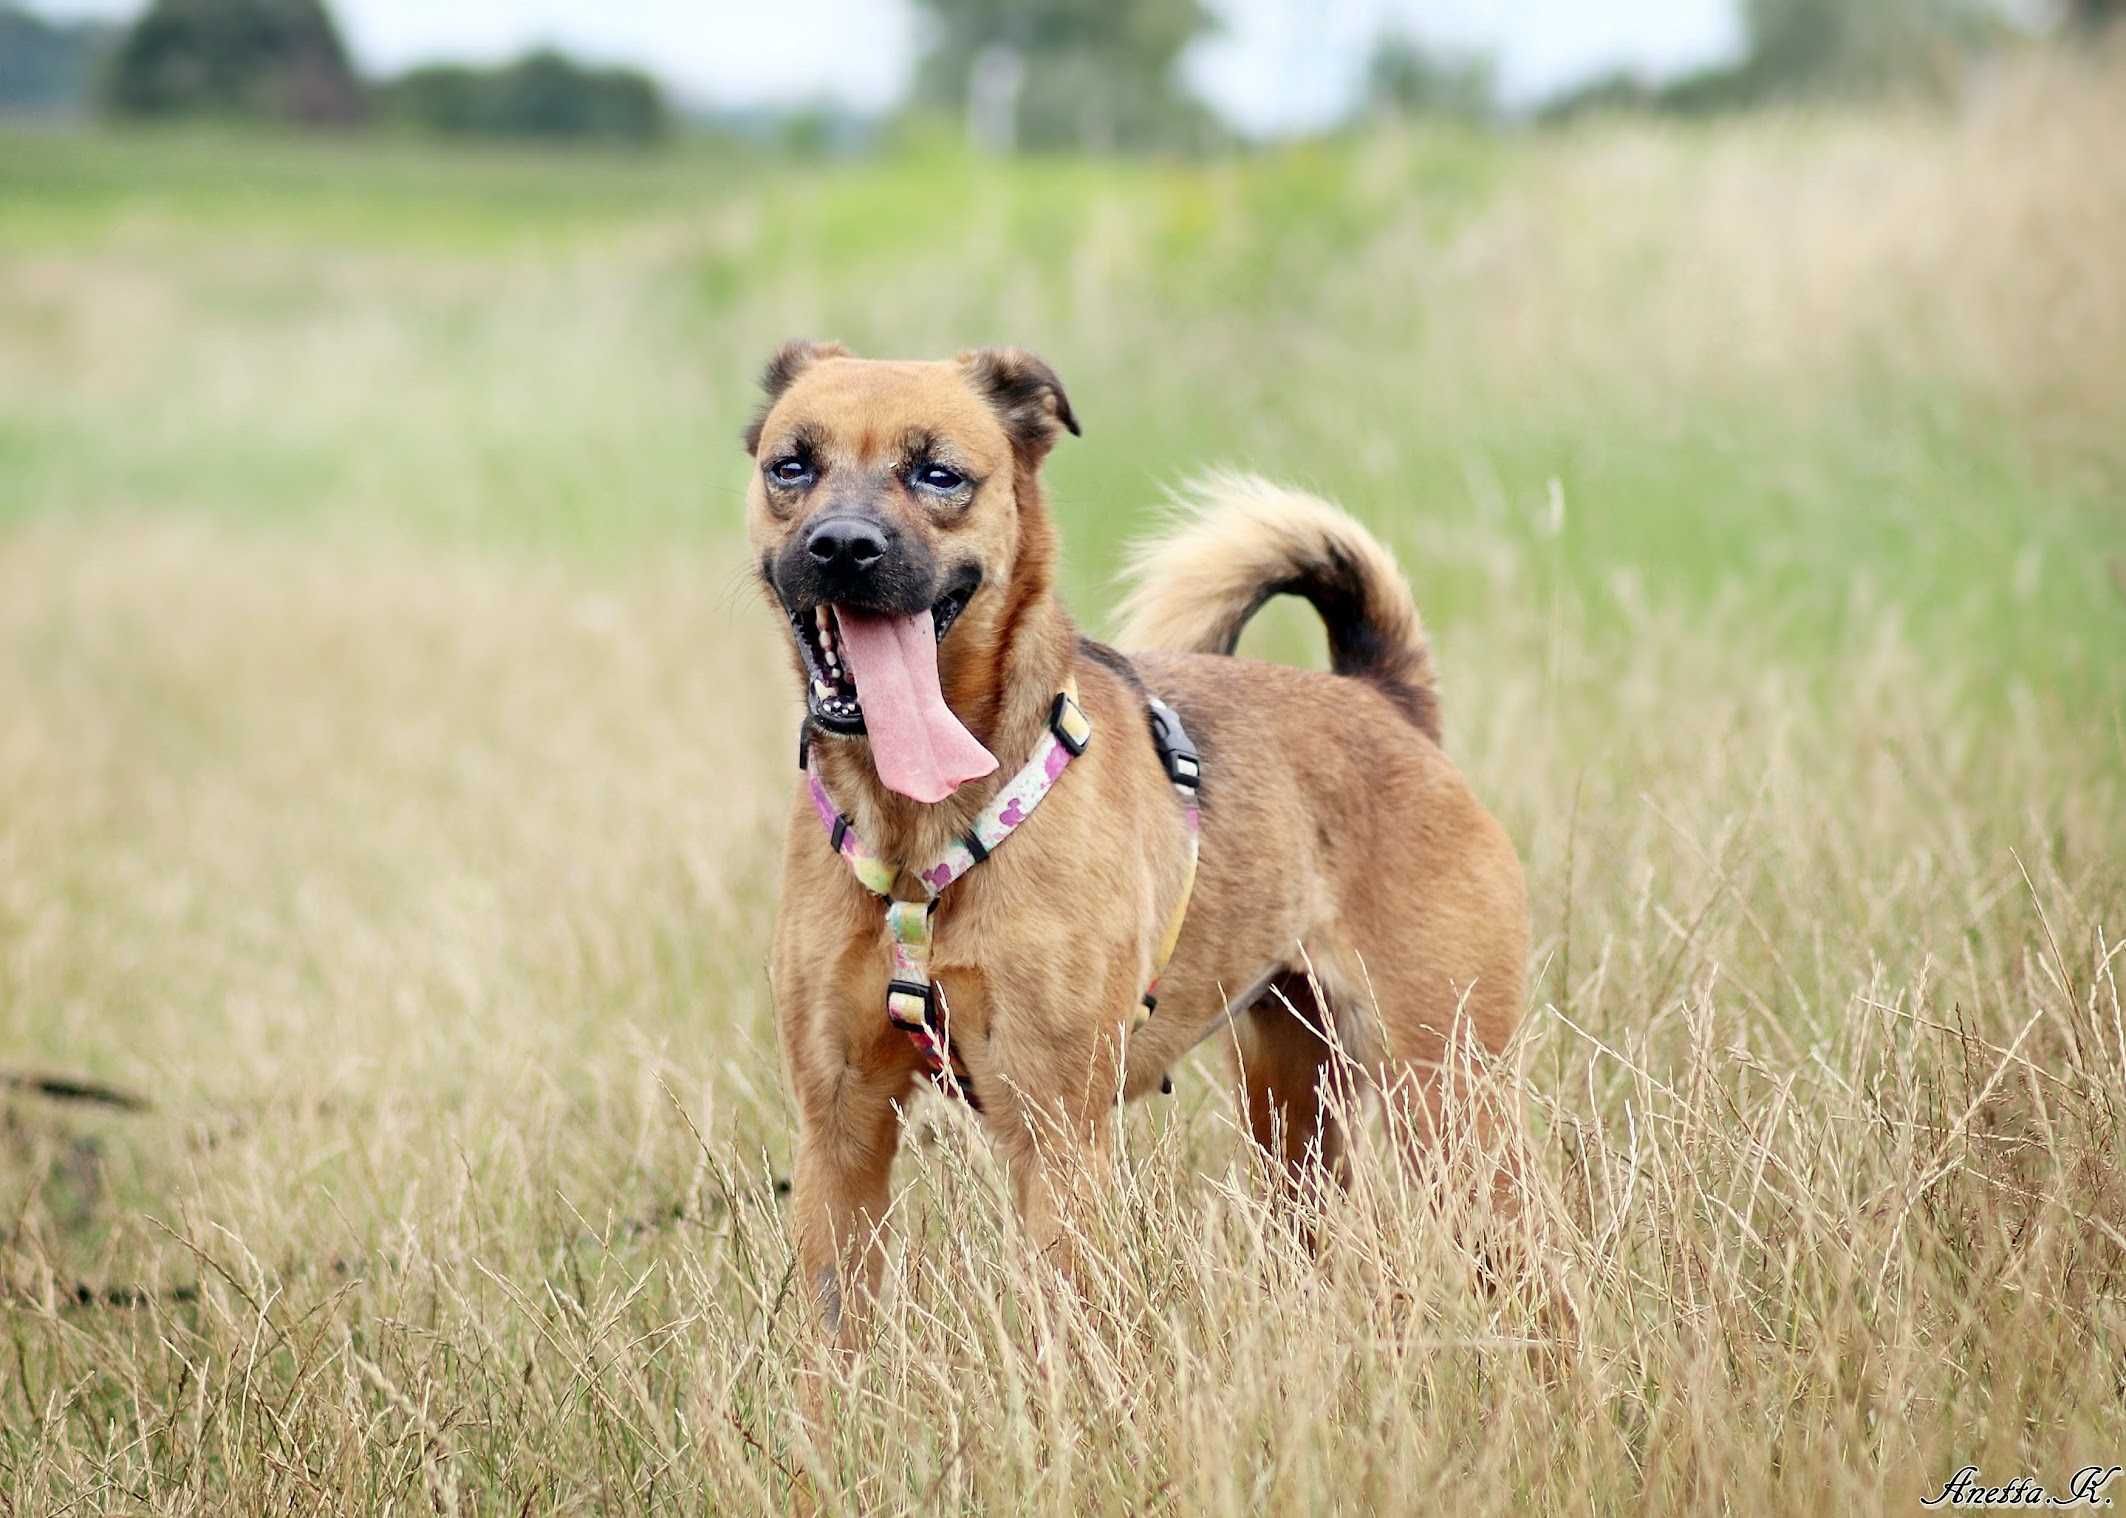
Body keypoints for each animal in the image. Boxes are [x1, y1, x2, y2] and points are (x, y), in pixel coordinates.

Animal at [748, 340, 1530, 1335]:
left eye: (939, 475)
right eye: (791, 467)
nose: (843, 547)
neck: (921, 830)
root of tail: (1384, 700)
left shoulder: (1057, 1134)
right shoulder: (840, 1133)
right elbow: (833, 1336)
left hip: (1451, 1098)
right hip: (1293, 1113)